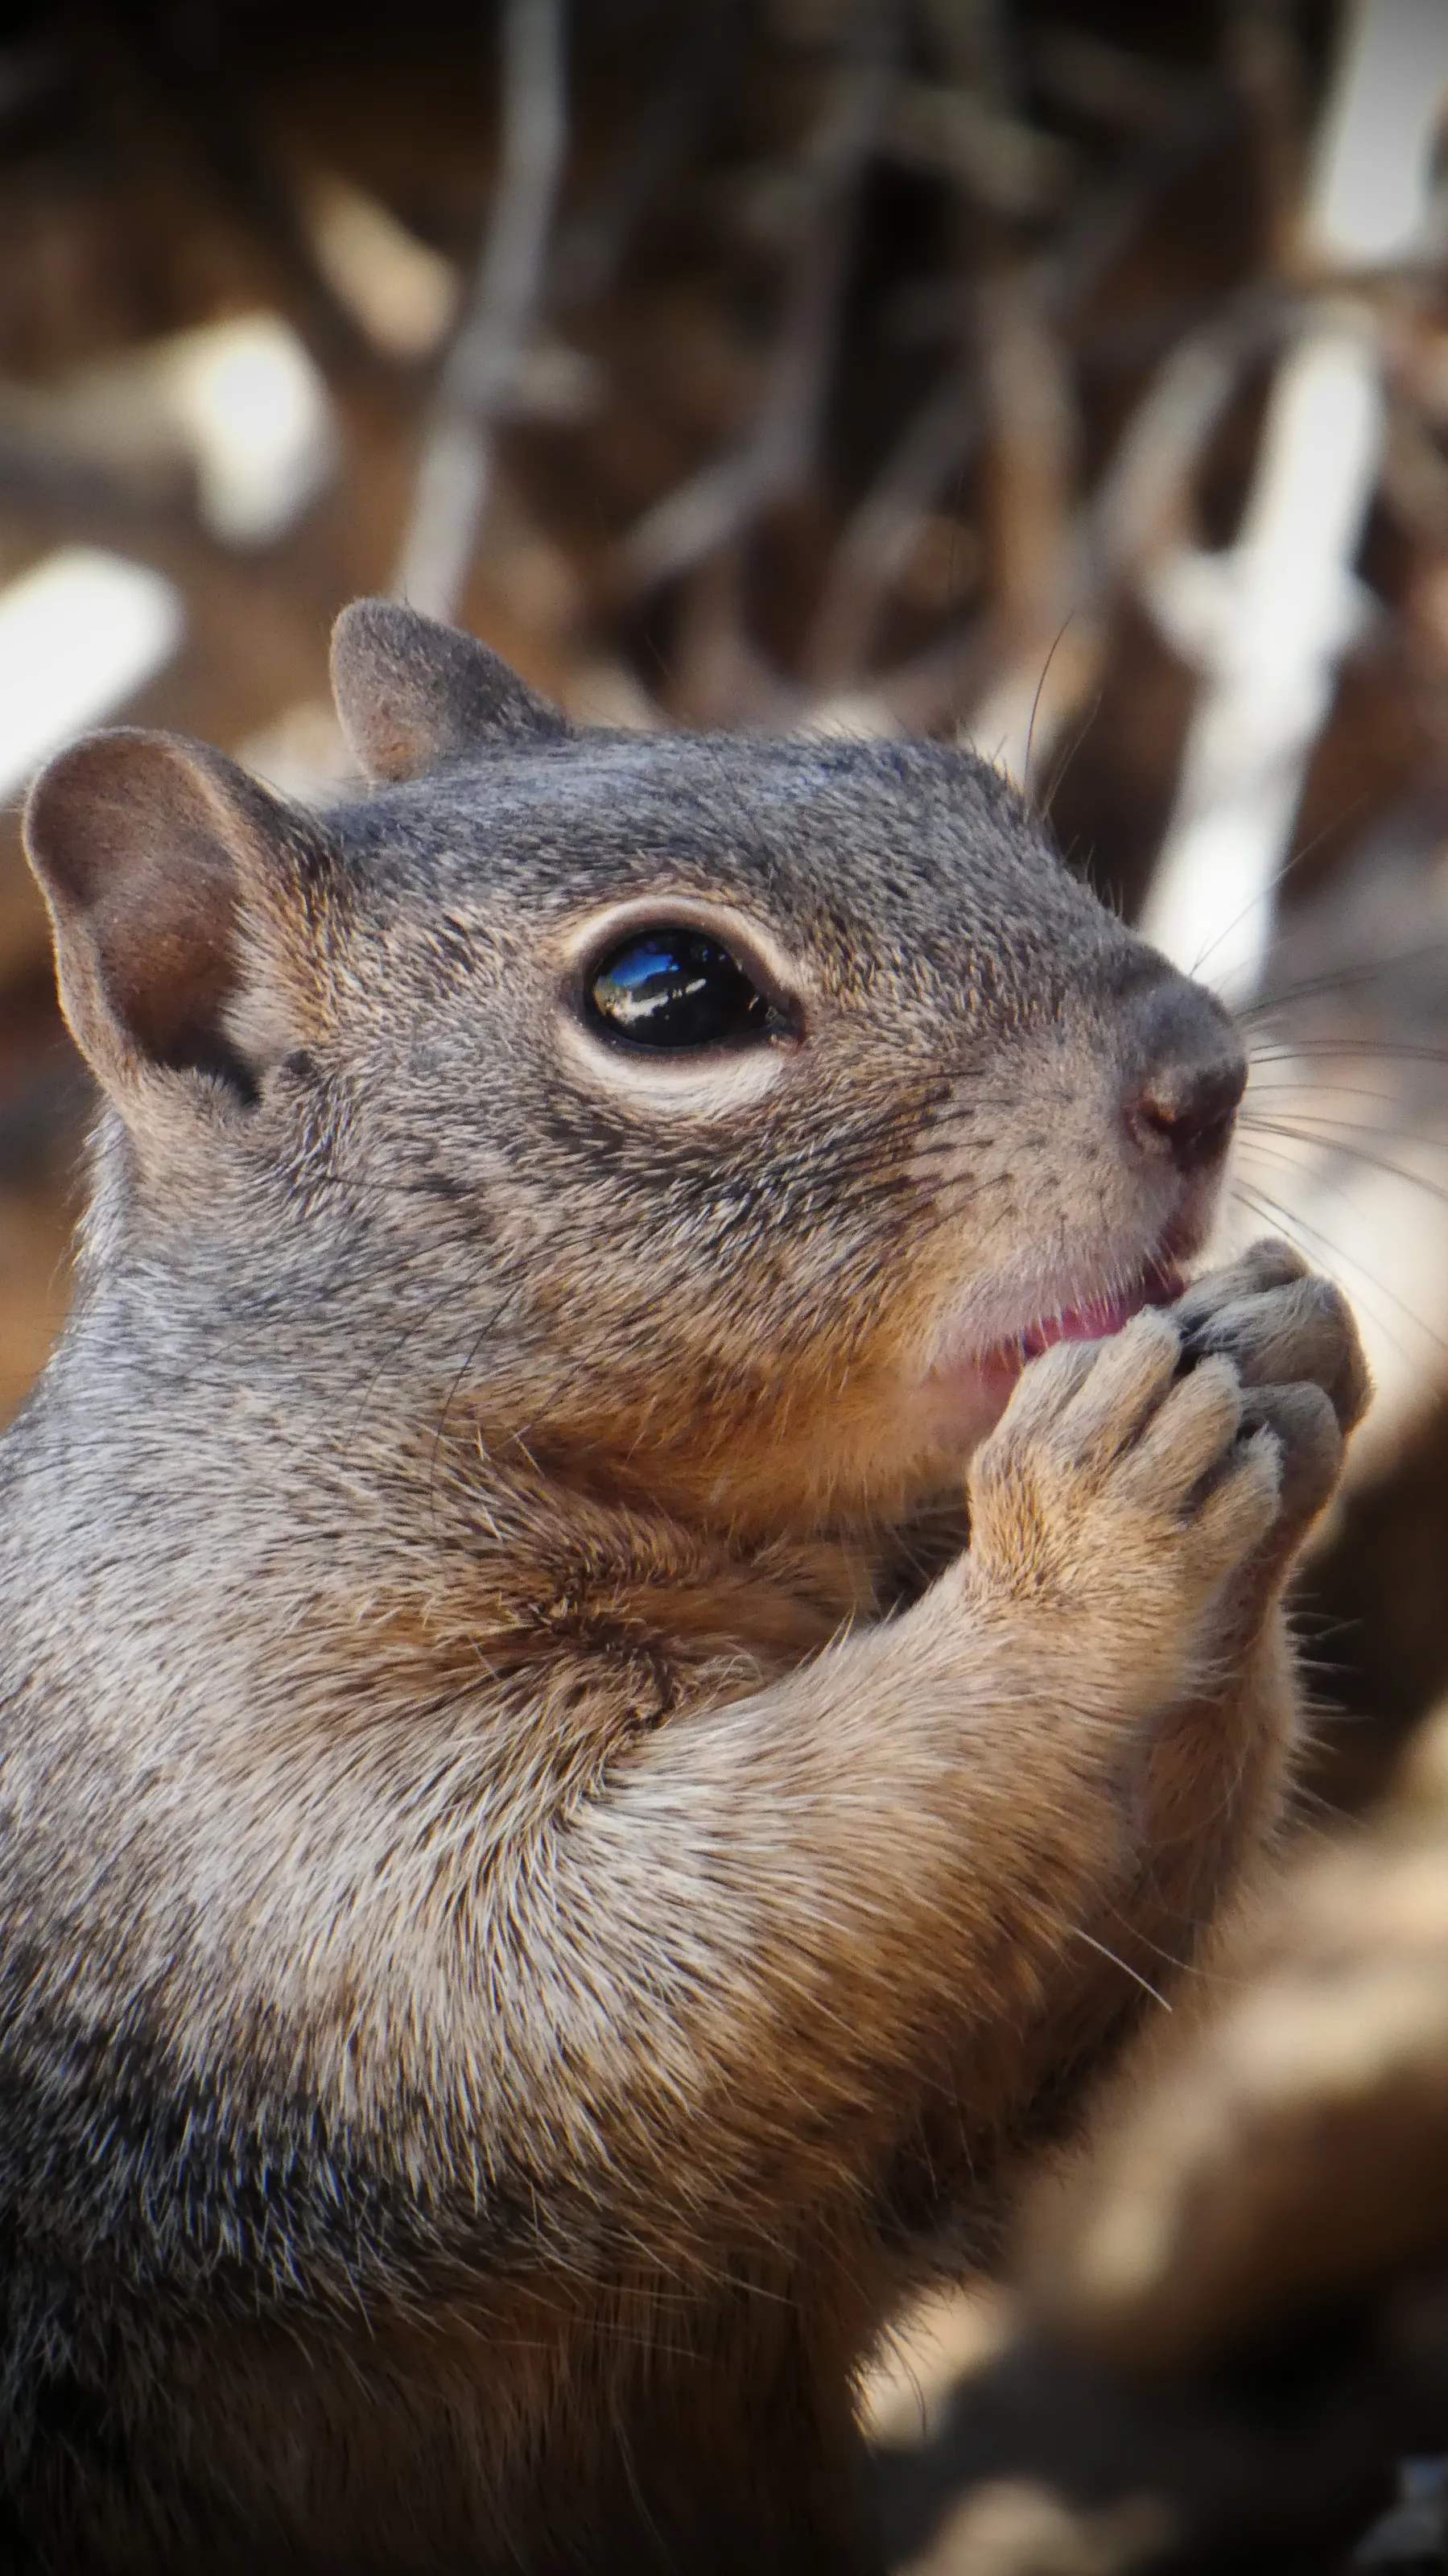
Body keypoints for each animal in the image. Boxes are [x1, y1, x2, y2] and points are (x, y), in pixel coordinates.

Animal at [0, 598, 1367, 2574]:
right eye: (668, 994)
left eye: (953, 780)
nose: (1201, 1070)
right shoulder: (240, 1802)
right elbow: (590, 1952)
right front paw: (1085, 1537)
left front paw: (1276, 1349)